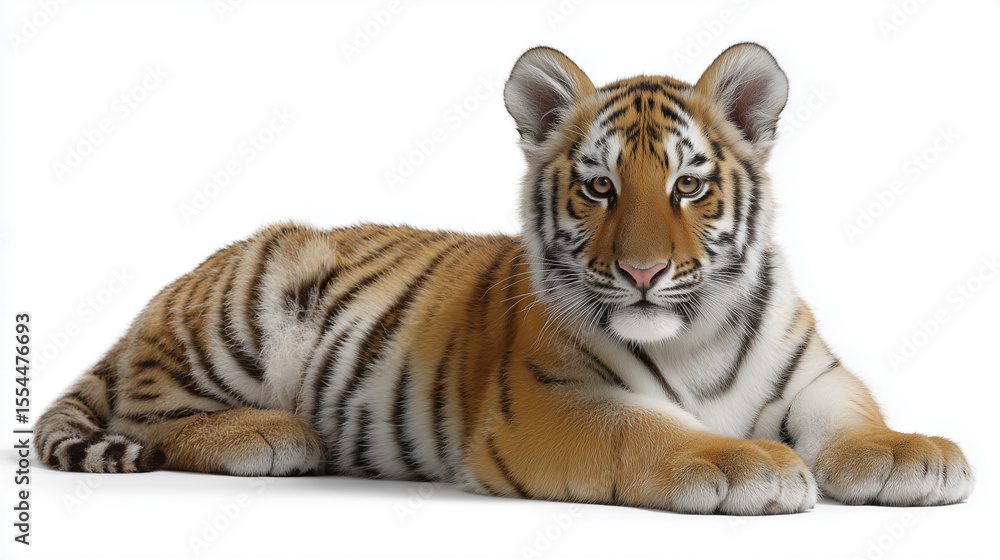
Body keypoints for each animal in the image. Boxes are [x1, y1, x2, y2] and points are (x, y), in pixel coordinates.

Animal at [35, 43, 974, 515]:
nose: (641, 271)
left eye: (687, 186)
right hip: (249, 305)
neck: (695, 334)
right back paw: (275, 435)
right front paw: (751, 462)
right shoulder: (550, 405)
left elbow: (853, 417)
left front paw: (916, 454)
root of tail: (155, 301)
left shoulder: (815, 374)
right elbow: (652, 434)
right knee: (154, 419)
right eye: (599, 188)